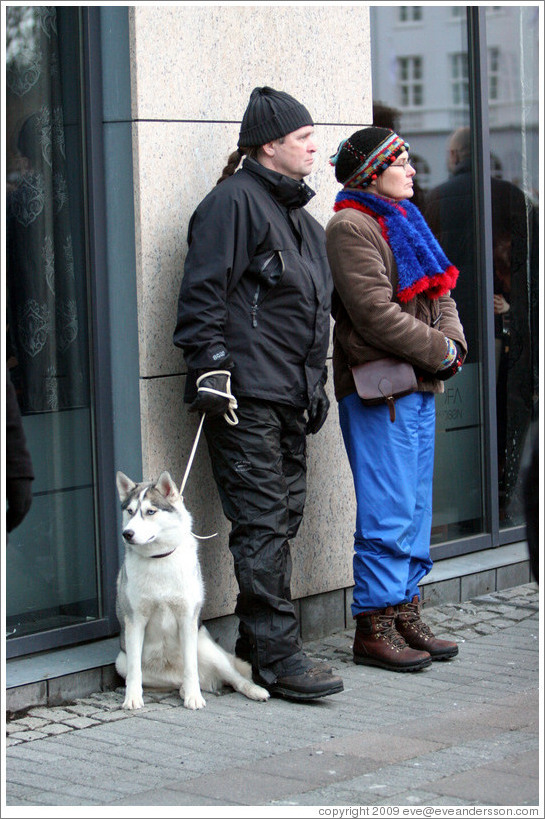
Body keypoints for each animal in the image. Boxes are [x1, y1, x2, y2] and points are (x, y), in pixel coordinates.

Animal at [115, 474, 270, 712]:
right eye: (130, 511)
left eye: (150, 511)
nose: (127, 534)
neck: (159, 559)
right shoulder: (135, 621)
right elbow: (135, 671)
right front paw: (132, 697)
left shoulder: (187, 619)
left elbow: (191, 667)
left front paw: (194, 697)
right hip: (120, 663)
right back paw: (181, 689)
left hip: (207, 648)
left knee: (234, 677)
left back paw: (253, 690)